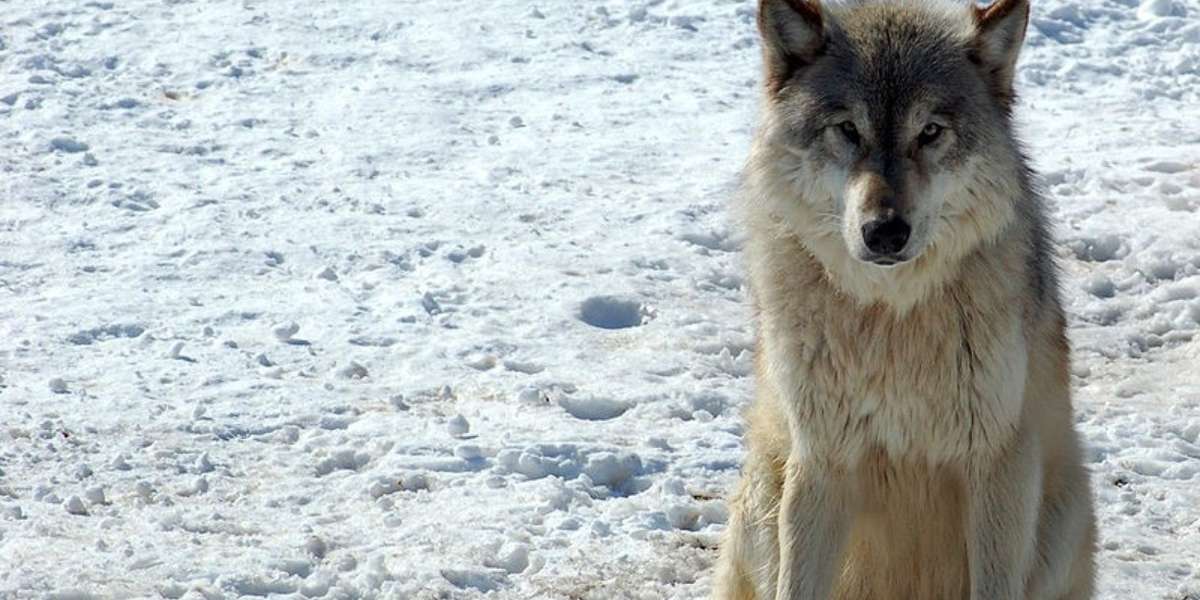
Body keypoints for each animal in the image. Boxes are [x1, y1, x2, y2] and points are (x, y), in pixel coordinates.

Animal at [712, 1, 1097, 599]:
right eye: (848, 129)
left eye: (930, 131)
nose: (886, 232)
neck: (891, 320)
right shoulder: (822, 460)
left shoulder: (997, 459)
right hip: (763, 493)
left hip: (1064, 507)